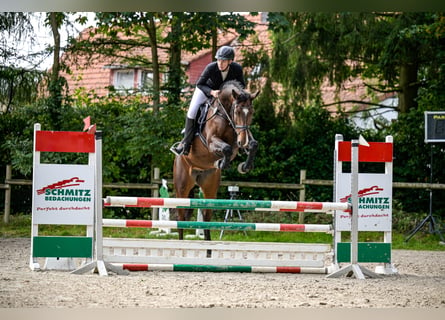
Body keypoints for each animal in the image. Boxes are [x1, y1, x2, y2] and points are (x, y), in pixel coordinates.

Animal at [172, 80, 258, 242]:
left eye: (251, 112)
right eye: (237, 112)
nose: (243, 141)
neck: (224, 113)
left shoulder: (238, 138)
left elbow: (252, 145)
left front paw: (244, 166)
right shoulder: (211, 141)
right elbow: (226, 148)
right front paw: (222, 163)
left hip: (209, 186)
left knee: (206, 217)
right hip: (182, 186)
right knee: (180, 218)